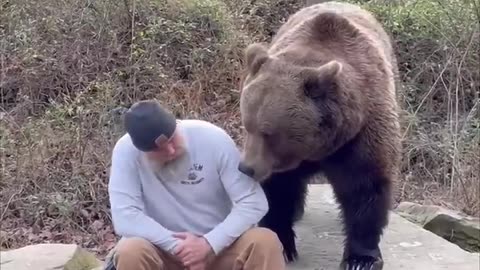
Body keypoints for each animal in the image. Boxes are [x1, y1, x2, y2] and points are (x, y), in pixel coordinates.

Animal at [236, 1, 402, 268]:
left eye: (268, 132)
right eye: (246, 125)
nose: (246, 168)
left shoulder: (363, 131)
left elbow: (366, 185)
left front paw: (361, 258)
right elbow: (279, 188)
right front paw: (282, 242)